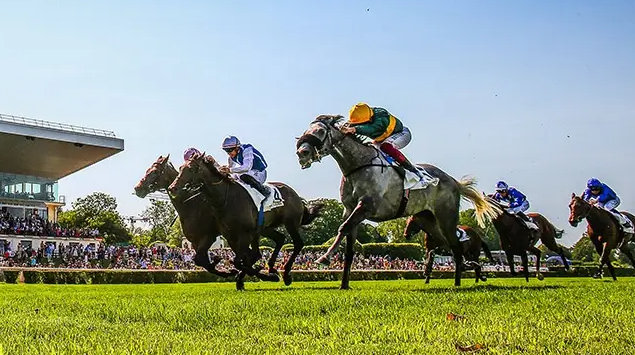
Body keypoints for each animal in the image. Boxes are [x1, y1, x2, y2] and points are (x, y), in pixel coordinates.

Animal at [169, 152, 322, 290]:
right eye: (180, 168)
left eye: (191, 169)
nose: (172, 187)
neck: (224, 199)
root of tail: (295, 194)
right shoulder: (230, 235)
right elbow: (240, 260)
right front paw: (258, 274)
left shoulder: (244, 234)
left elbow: (239, 261)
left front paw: (258, 274)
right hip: (266, 227)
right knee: (280, 239)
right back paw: (272, 268)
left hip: (290, 222)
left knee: (298, 243)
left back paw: (285, 274)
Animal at [296, 115, 502, 288]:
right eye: (307, 130)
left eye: (319, 131)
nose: (301, 152)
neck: (358, 165)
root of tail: (453, 181)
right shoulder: (350, 209)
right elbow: (349, 247)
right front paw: (344, 284)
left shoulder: (366, 206)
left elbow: (343, 228)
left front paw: (324, 257)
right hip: (427, 218)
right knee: (448, 245)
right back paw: (463, 275)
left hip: (447, 217)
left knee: (456, 246)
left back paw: (459, 282)